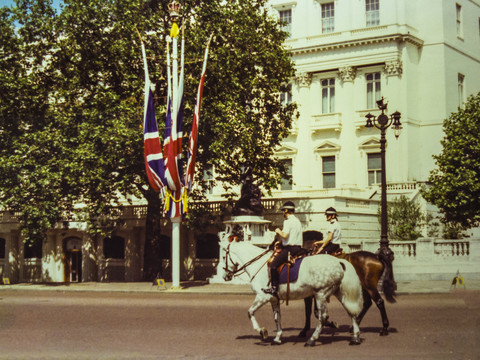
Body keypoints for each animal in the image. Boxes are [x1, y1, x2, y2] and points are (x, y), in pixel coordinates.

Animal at [222, 239, 364, 346]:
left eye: (223, 256)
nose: (225, 276)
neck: (259, 265)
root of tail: (338, 261)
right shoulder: (274, 299)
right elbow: (277, 318)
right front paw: (278, 337)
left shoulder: (263, 296)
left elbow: (250, 312)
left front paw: (262, 331)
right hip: (338, 293)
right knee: (351, 313)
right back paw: (355, 337)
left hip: (321, 294)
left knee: (323, 317)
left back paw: (312, 339)